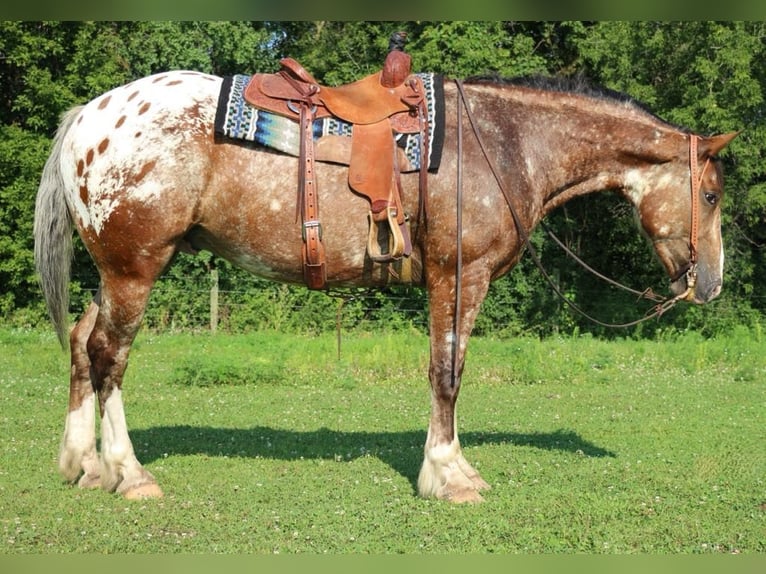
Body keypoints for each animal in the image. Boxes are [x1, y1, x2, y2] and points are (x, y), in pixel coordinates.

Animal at [33, 71, 740, 504]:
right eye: (709, 195)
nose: (711, 284)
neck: (508, 144)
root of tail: (89, 116)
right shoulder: (459, 276)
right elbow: (447, 371)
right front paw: (449, 476)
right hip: (135, 268)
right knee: (109, 356)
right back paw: (128, 473)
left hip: (116, 272)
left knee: (81, 343)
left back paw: (82, 464)